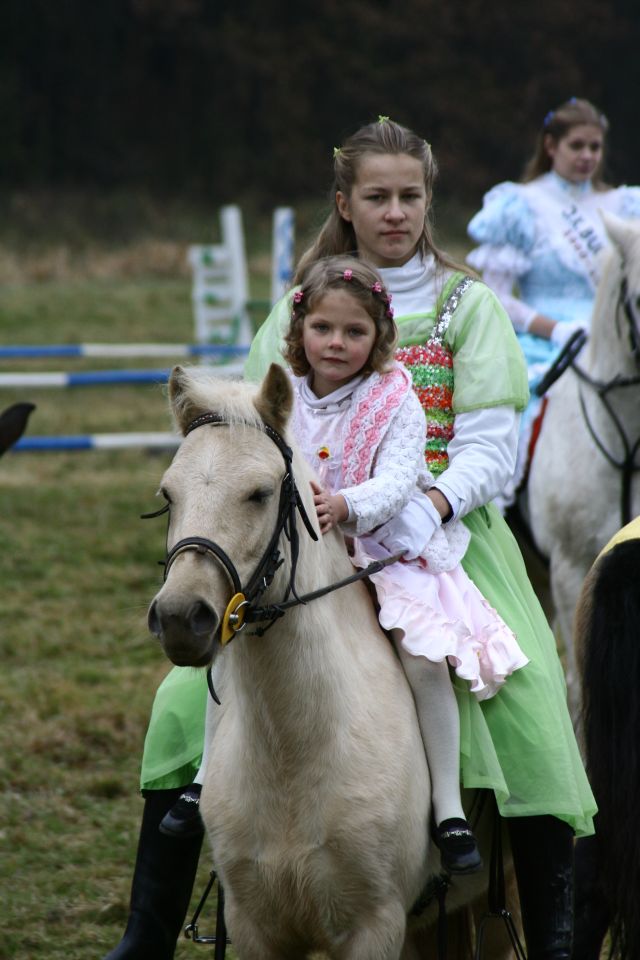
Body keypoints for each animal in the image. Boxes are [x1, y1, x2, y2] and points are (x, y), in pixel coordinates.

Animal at [146, 364, 516, 956]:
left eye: (259, 493)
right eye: (168, 494)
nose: (182, 617)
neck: (293, 755)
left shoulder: (375, 926)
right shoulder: (253, 926)